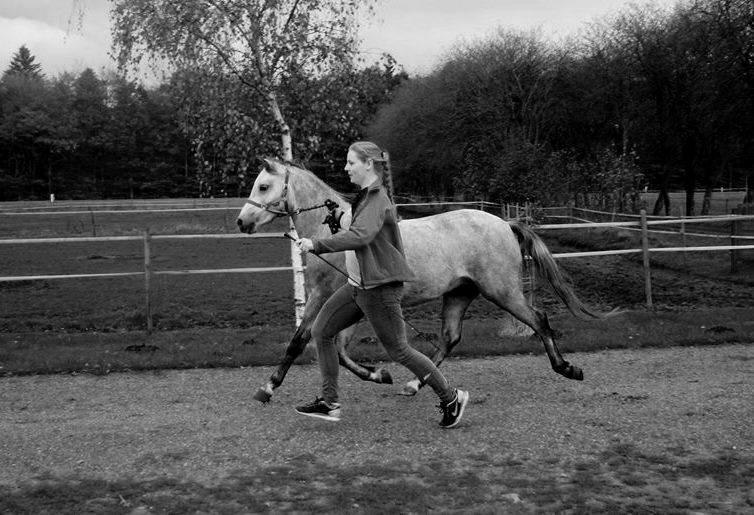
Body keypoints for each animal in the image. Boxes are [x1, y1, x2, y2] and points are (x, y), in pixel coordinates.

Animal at [237, 158, 607, 403]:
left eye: (264, 186)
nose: (241, 222)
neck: (334, 231)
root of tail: (505, 224)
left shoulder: (323, 297)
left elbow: (302, 341)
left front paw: (268, 387)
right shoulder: (347, 303)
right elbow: (336, 349)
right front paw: (380, 374)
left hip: (503, 292)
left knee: (539, 320)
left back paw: (567, 368)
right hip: (459, 294)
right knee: (450, 338)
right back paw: (416, 385)